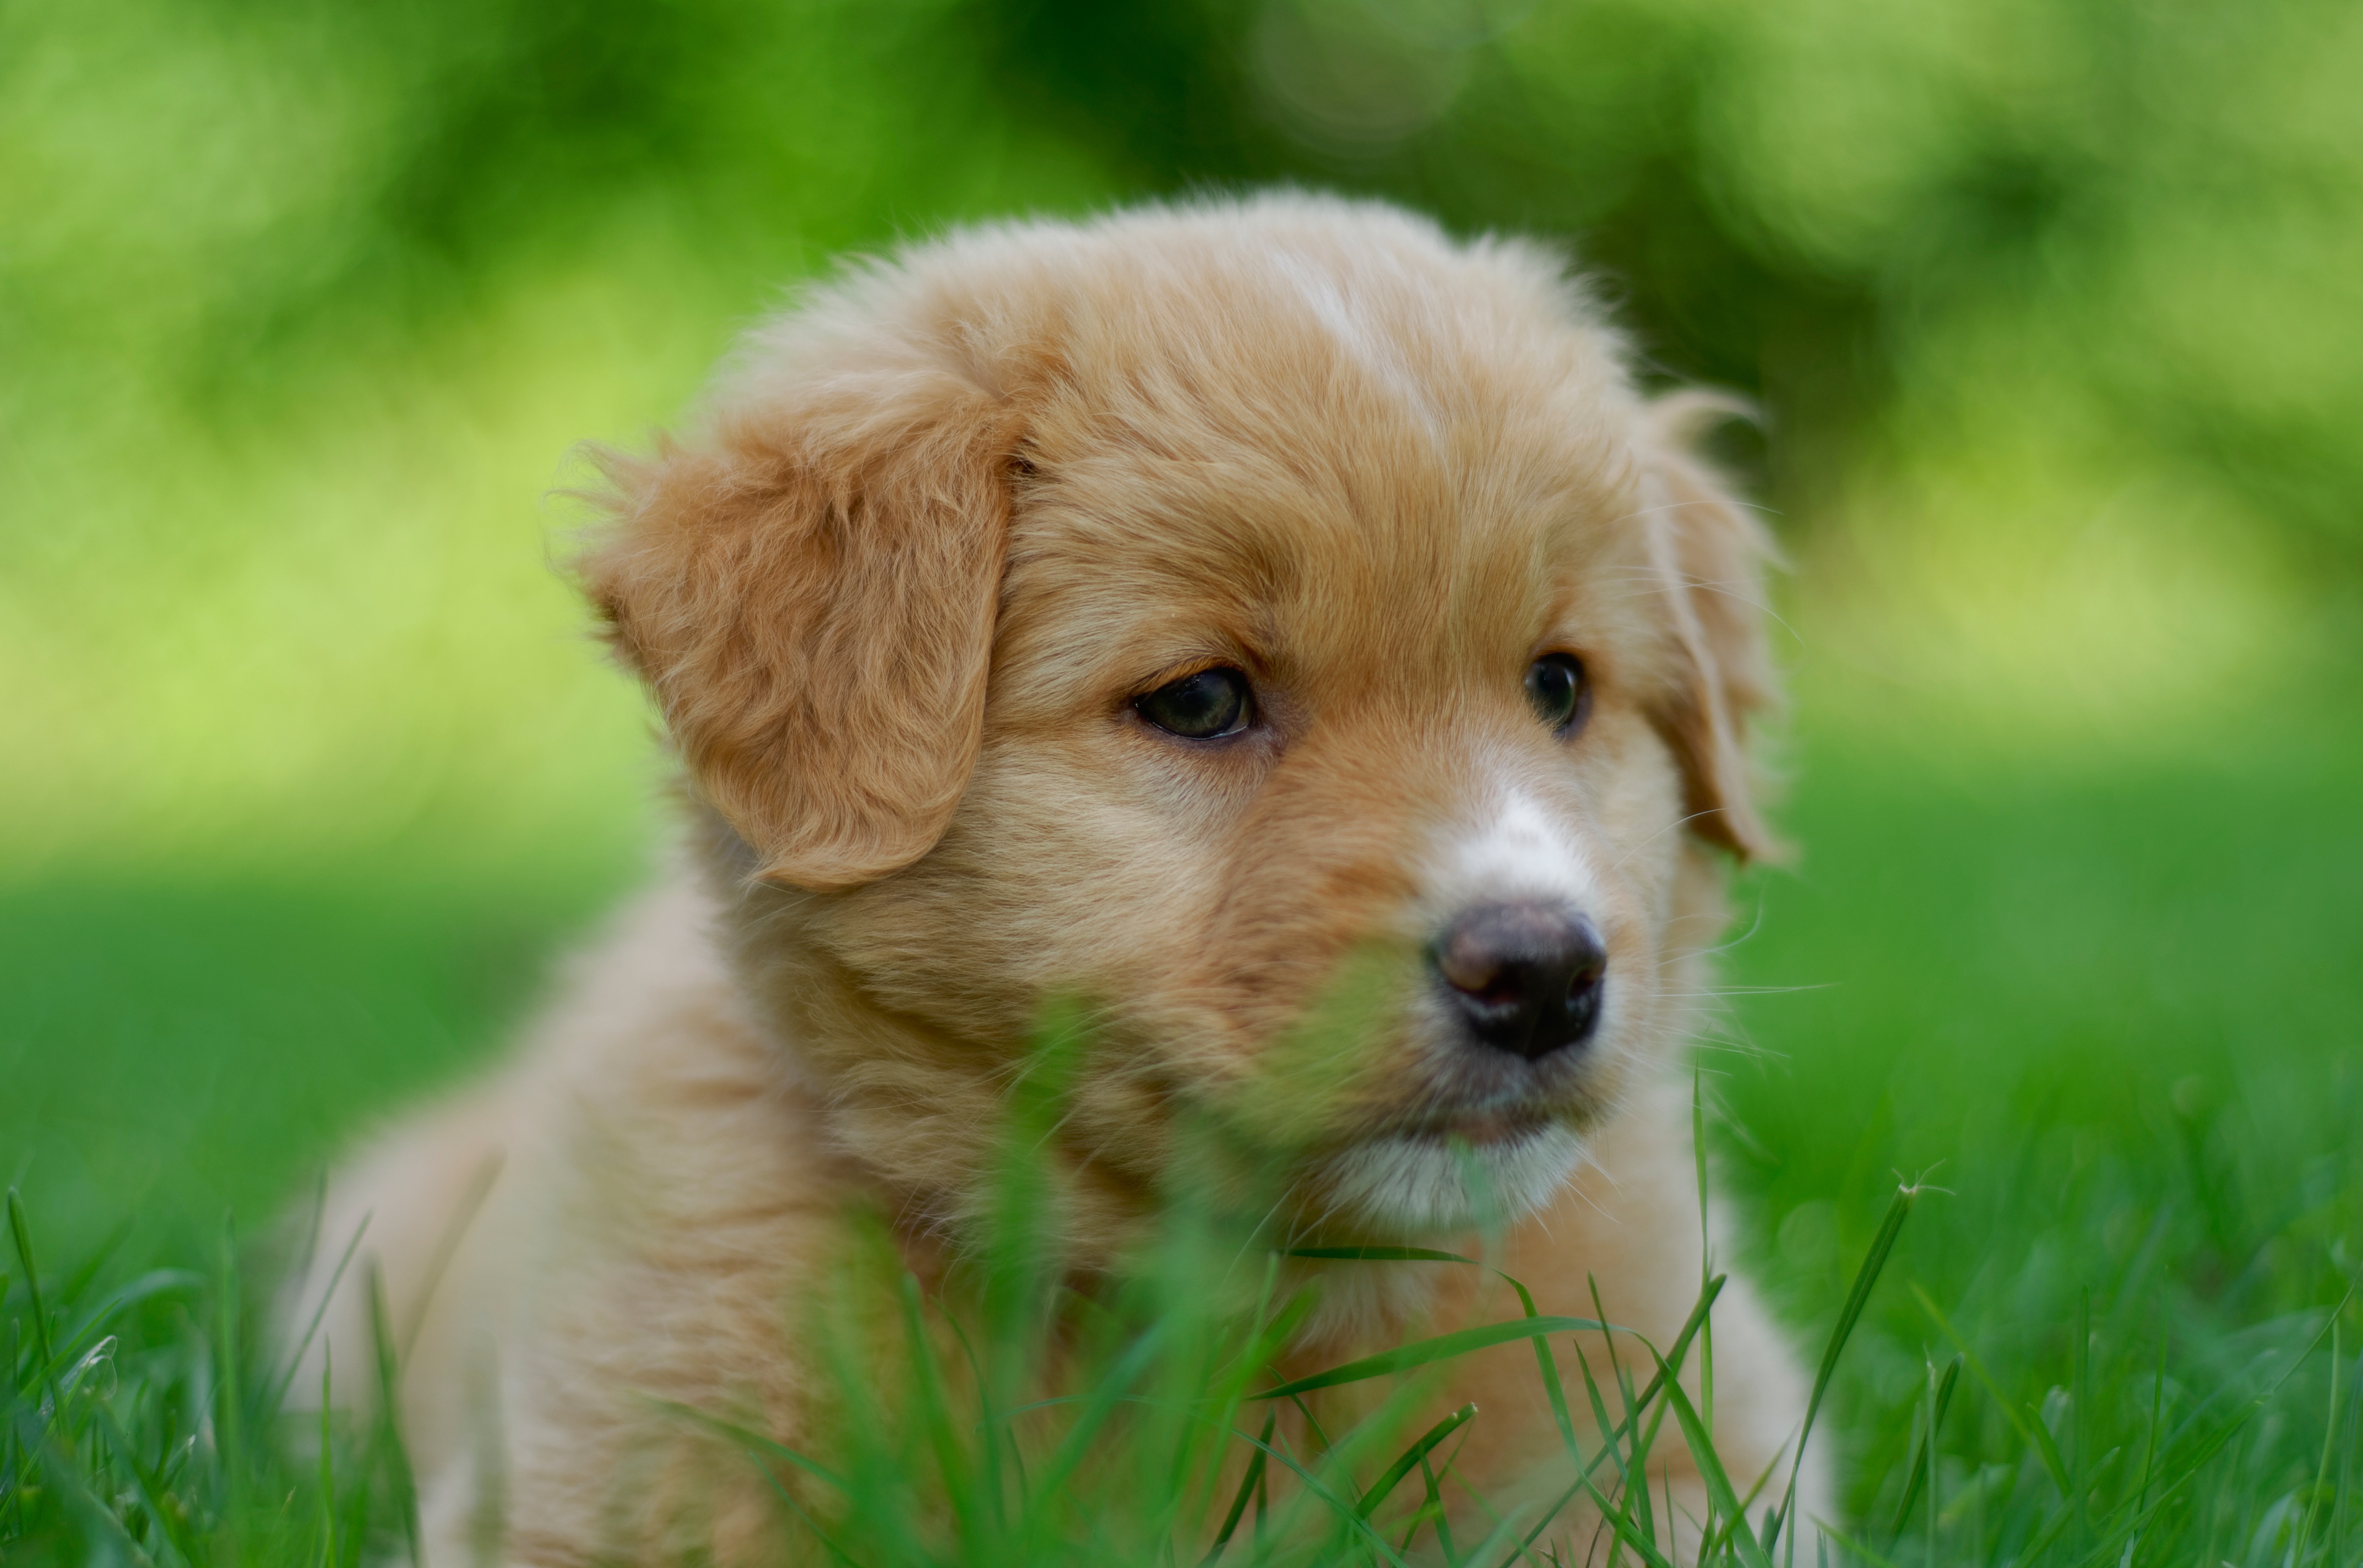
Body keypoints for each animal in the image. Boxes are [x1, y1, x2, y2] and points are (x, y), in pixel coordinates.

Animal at [286, 195, 1815, 1567]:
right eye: (1199, 699)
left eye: (1561, 685)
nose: (1545, 974)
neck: (1216, 1308)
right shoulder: (609, 1471)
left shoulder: (1702, 1442)